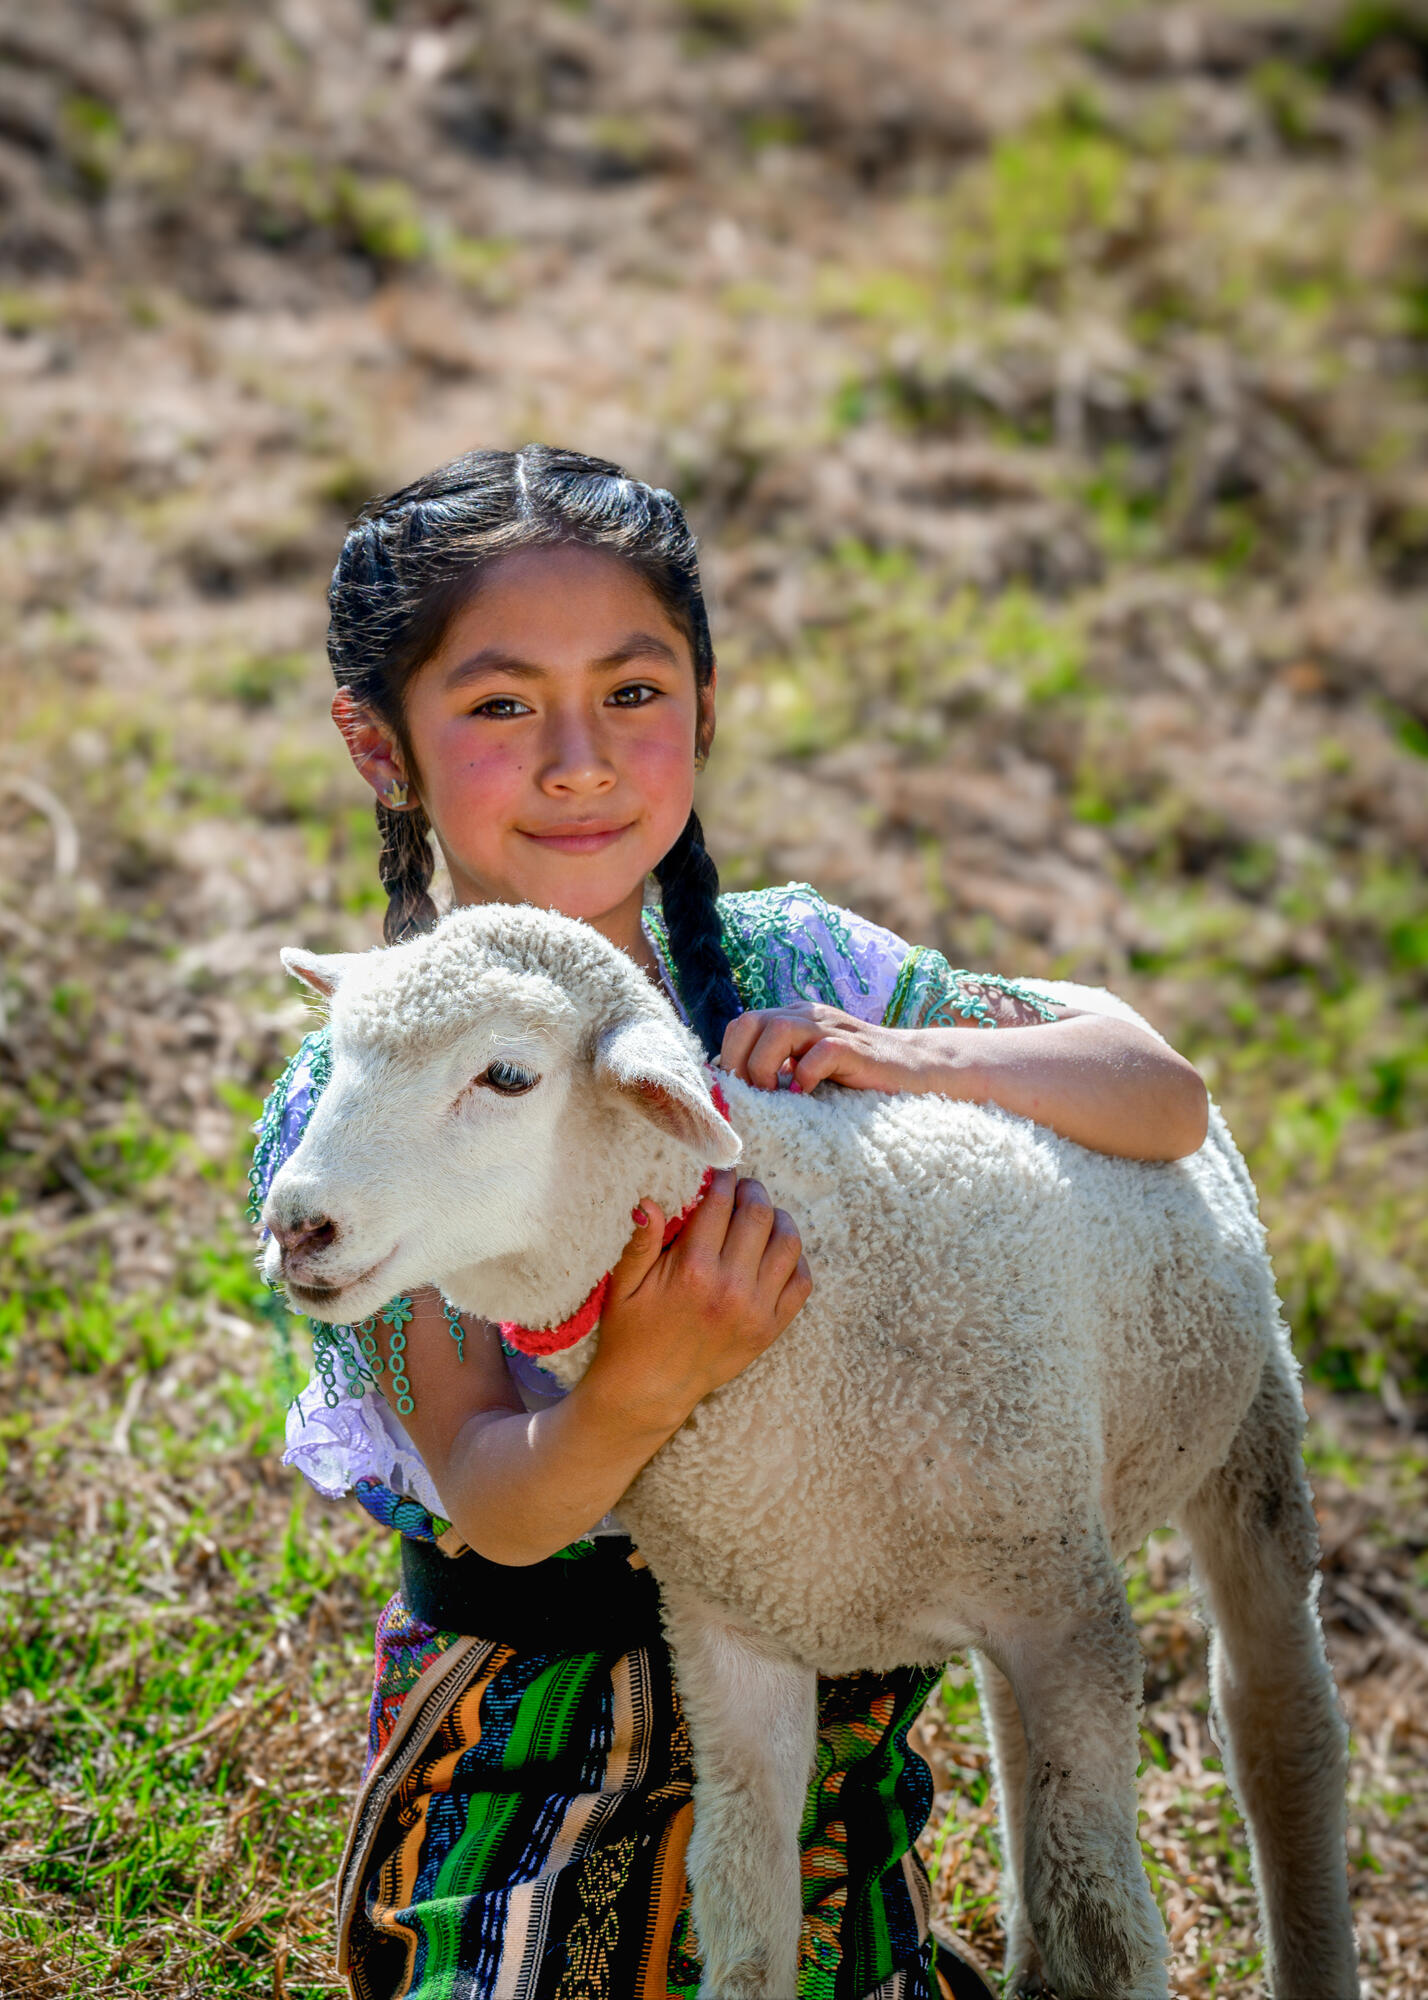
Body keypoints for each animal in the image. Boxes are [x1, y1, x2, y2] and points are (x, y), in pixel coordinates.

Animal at [258, 908, 1360, 2000]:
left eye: (507, 1076)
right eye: (338, 1054)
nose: (295, 1223)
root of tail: (1069, 986)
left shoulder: (1071, 1622)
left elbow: (1105, 1933)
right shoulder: (737, 1636)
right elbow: (744, 1915)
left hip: (1242, 1419)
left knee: (1276, 1723)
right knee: (1018, 1747)